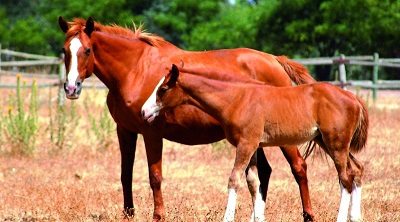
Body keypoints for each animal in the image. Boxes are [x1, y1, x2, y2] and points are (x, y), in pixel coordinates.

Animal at [58, 16, 316, 220]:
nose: (71, 88)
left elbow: (155, 177)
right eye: (64, 51)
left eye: (87, 50)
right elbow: (125, 174)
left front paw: (158, 215)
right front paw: (128, 215)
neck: (135, 69)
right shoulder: (125, 131)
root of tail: (275, 60)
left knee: (299, 168)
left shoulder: (151, 132)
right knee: (264, 173)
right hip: (255, 140)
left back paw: (308, 215)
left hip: (282, 138)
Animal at [141, 64, 368, 222]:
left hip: (336, 143)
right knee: (357, 169)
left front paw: (228, 218)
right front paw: (257, 217)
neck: (236, 98)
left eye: (163, 89)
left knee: (345, 178)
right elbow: (253, 183)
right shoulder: (254, 147)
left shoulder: (246, 145)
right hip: (327, 142)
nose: (144, 111)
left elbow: (234, 179)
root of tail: (353, 98)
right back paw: (356, 216)